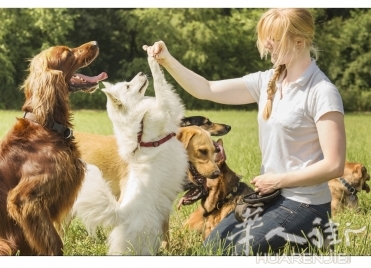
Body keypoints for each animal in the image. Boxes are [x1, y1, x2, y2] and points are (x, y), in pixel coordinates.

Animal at [0, 41, 107, 255]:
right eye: (68, 54)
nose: (95, 43)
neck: (46, 125)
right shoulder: (24, 200)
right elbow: (55, 243)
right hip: (4, 244)